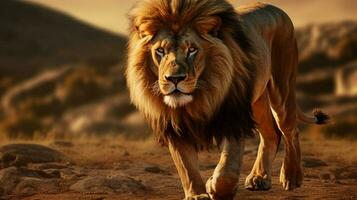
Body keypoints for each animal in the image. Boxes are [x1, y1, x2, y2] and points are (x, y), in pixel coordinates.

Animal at [126, 0, 328, 199]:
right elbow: (186, 167)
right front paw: (197, 195)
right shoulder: (175, 124)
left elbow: (228, 170)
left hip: (282, 88)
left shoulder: (233, 116)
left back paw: (291, 177)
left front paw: (213, 187)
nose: (174, 79)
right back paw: (259, 178)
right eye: (160, 51)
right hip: (257, 102)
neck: (199, 98)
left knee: (290, 131)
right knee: (272, 135)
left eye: (192, 50)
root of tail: (275, 8)